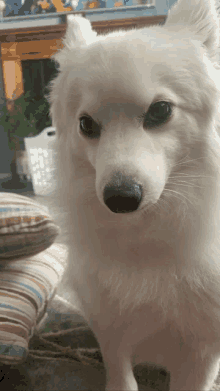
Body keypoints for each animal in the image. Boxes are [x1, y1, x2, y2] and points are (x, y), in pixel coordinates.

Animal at [49, 1, 220, 390]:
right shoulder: (111, 331)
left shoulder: (202, 348)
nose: (120, 197)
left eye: (161, 110)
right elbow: (121, 377)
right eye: (86, 124)